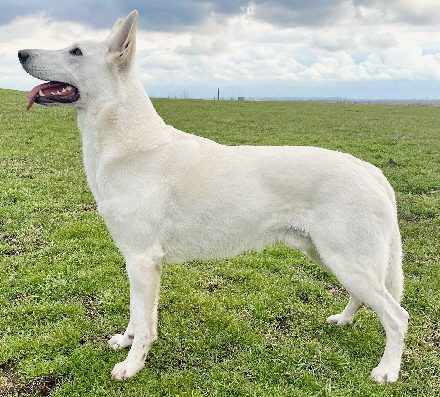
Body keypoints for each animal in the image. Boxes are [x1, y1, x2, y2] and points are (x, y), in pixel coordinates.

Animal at [18, 10, 410, 384]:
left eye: (76, 52)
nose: (20, 52)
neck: (128, 143)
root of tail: (372, 171)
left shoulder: (143, 259)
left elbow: (144, 322)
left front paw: (132, 366)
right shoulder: (136, 260)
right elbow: (138, 315)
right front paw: (126, 342)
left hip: (348, 260)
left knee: (396, 316)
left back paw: (387, 371)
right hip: (331, 256)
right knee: (363, 298)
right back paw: (343, 321)